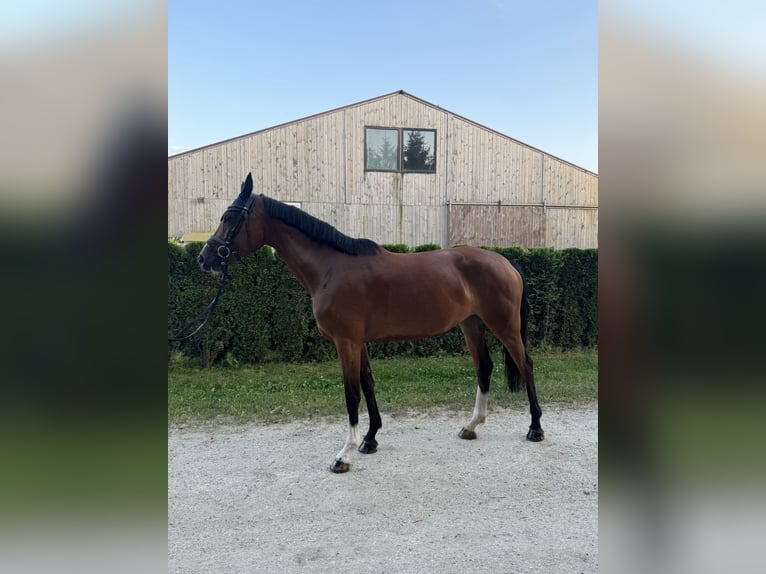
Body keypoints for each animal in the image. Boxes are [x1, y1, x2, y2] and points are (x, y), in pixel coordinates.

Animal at [198, 173, 544, 474]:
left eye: (229, 217)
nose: (205, 258)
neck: (330, 267)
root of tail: (506, 261)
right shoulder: (358, 342)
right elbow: (367, 384)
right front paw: (370, 439)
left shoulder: (346, 342)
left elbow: (351, 393)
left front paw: (344, 455)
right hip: (472, 325)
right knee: (484, 367)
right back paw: (471, 426)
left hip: (505, 327)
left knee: (525, 364)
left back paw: (535, 428)